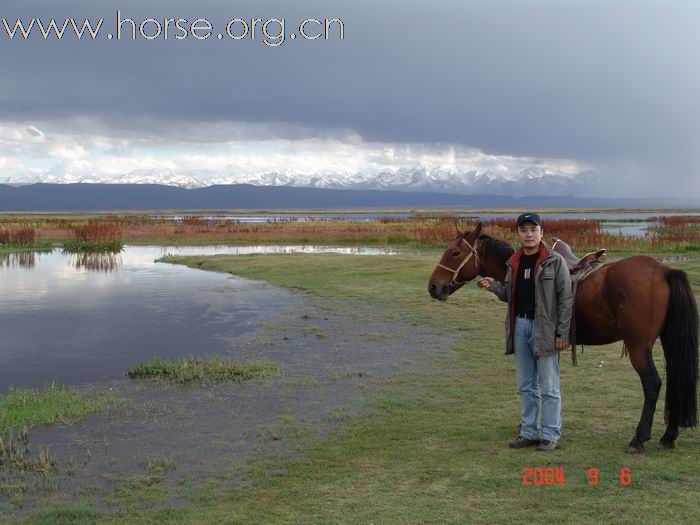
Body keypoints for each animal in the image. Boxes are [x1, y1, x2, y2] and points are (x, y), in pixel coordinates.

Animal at [426, 221, 700, 450]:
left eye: (455, 253)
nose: (433, 286)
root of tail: (664, 270)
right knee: (675, 378)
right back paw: (669, 436)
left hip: (638, 347)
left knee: (652, 384)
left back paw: (639, 439)